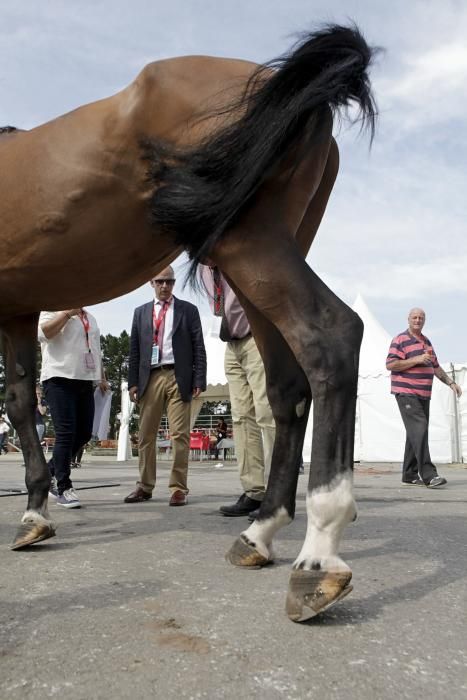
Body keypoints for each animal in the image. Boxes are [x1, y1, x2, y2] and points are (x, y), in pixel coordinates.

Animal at [0, 24, 378, 620]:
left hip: (251, 245)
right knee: (288, 387)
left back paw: (317, 557)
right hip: (263, 259)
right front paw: (35, 513)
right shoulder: (17, 308)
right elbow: (20, 404)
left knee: (332, 336)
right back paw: (260, 532)